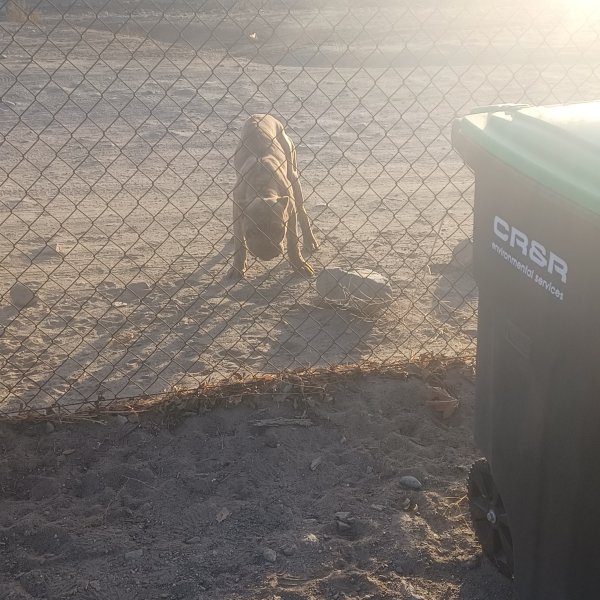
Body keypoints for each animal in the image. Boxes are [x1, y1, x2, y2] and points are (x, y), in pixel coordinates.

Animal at [227, 113, 318, 280]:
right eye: (252, 232)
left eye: (279, 230)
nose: (267, 252)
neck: (262, 188)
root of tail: (261, 115)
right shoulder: (236, 208)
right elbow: (239, 242)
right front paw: (237, 267)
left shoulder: (290, 210)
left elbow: (293, 240)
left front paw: (299, 265)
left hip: (293, 176)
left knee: (302, 211)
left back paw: (310, 241)